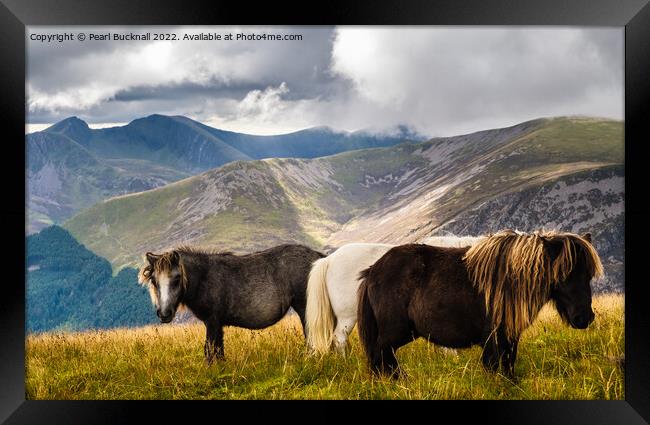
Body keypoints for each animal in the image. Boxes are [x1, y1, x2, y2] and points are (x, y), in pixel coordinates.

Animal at [354, 230, 604, 376]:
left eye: (588, 274)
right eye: (564, 274)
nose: (584, 318)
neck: (511, 281)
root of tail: (373, 270)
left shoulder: (509, 338)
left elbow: (508, 368)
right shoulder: (492, 338)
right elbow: (494, 368)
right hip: (395, 333)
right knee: (380, 357)